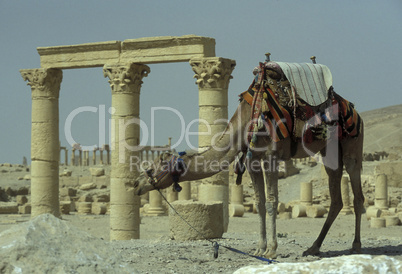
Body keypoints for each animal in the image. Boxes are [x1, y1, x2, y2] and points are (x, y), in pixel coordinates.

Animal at [132, 61, 364, 260]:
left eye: (151, 171)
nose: (136, 184)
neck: (245, 123)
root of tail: (354, 110)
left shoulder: (271, 156)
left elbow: (271, 202)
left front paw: (272, 250)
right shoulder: (252, 160)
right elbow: (259, 203)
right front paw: (260, 248)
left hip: (352, 145)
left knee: (357, 193)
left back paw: (356, 246)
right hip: (329, 154)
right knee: (337, 199)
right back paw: (313, 247)